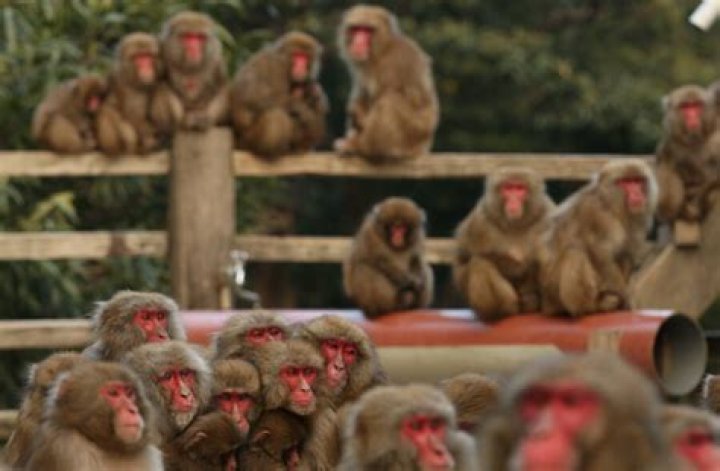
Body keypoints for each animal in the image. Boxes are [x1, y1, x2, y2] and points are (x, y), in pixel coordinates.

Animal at [334, 5, 439, 162]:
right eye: (356, 29)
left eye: (368, 30)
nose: (358, 42)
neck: (383, 49)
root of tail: (424, 147)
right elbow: (362, 95)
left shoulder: (392, 65)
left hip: (412, 136)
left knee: (389, 101)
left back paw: (362, 147)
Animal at [453, 167, 555, 321]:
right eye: (508, 188)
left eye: (519, 188)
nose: (513, 200)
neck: (516, 225)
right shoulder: (480, 220)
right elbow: (462, 262)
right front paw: (514, 267)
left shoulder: (549, 214)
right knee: (479, 263)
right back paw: (497, 312)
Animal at [539, 159, 658, 316]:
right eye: (626, 182)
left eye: (637, 181)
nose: (637, 193)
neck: (612, 205)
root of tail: (546, 305)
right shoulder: (597, 214)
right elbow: (599, 251)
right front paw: (625, 296)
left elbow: (626, 252)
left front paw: (625, 299)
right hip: (553, 294)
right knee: (575, 252)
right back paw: (591, 307)